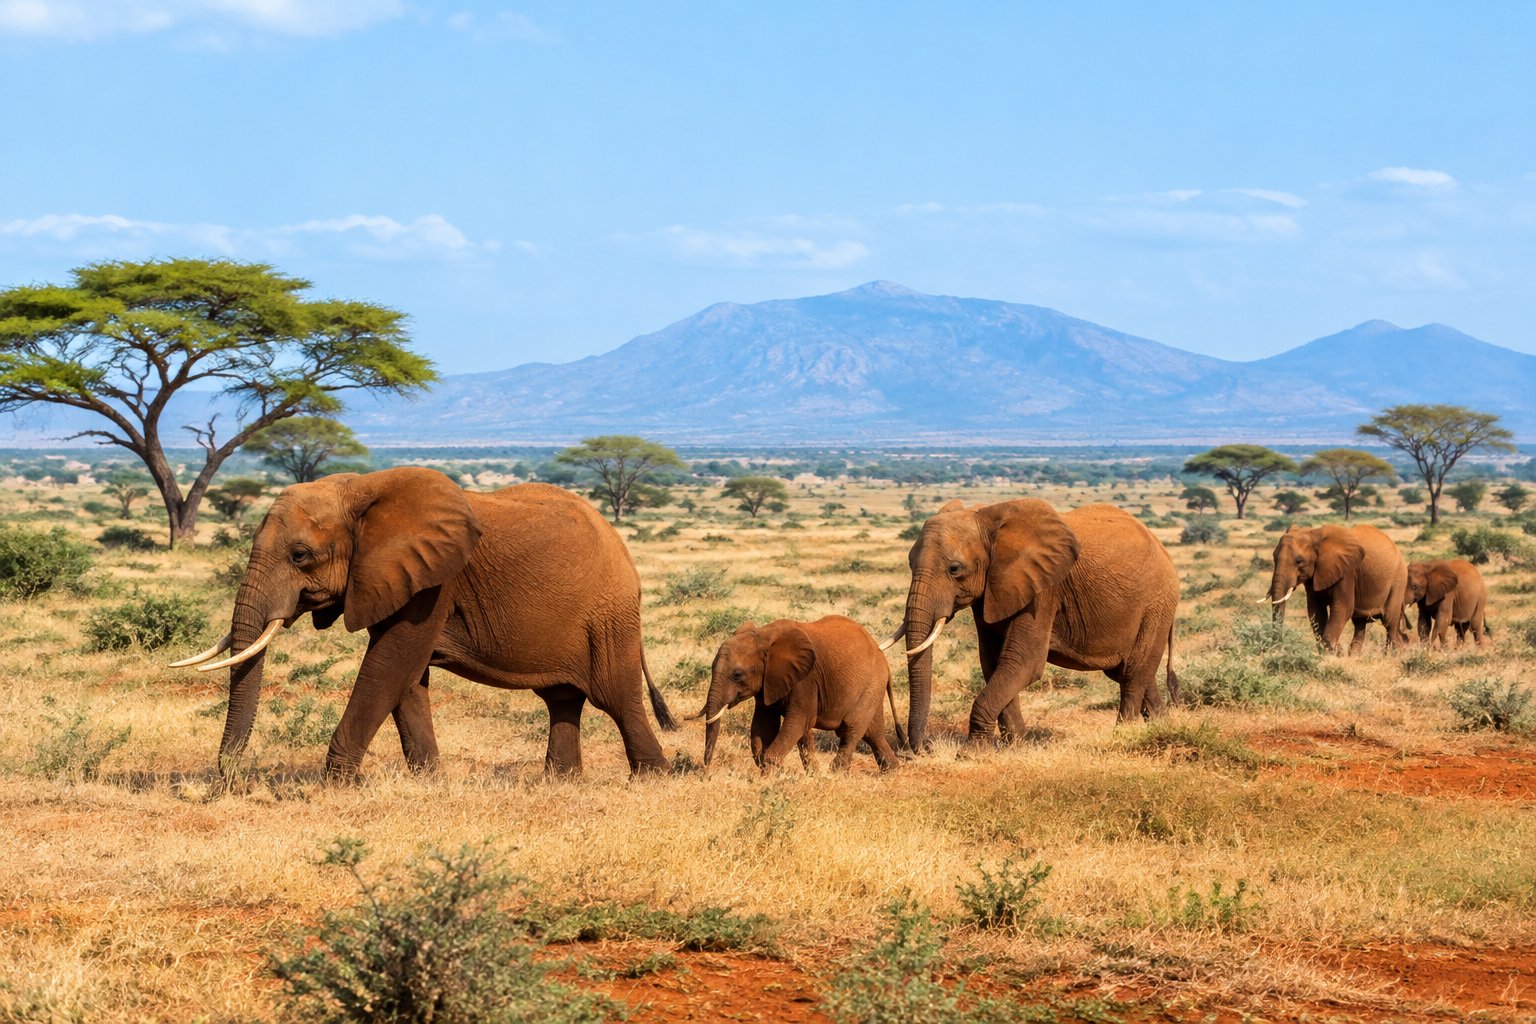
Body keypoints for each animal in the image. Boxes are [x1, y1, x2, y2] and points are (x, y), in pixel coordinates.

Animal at [173, 467, 676, 779]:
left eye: (300, 556)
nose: (230, 777)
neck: (361, 491)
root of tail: (622, 547)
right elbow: (407, 678)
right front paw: (430, 781)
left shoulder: (434, 583)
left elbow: (388, 666)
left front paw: (334, 785)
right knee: (563, 699)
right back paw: (561, 781)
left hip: (609, 616)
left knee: (616, 697)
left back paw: (650, 778)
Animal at [696, 616, 905, 773]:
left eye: (737, 675)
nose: (706, 772)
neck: (763, 636)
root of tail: (881, 654)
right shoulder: (767, 684)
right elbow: (764, 728)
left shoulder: (806, 680)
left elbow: (797, 721)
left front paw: (770, 774)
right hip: (873, 686)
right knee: (873, 733)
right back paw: (891, 771)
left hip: (872, 682)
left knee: (851, 727)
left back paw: (836, 773)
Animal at [890, 499, 1180, 753]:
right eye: (909, 564)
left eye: (954, 569)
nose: (925, 747)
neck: (987, 517)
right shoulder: (993, 591)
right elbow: (993, 662)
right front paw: (1016, 745)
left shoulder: (1042, 592)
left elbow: (1024, 662)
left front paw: (971, 753)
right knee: (1133, 673)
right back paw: (1162, 728)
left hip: (1156, 605)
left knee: (1133, 674)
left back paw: (1122, 737)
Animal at [1265, 523, 1409, 654]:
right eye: (1273, 557)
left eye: (1299, 561)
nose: (1278, 648)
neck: (1314, 534)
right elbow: (1316, 611)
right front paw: (1336, 652)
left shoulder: (1347, 572)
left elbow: (1342, 608)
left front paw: (1333, 653)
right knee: (1360, 624)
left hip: (1398, 581)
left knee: (1389, 622)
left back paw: (1394, 655)